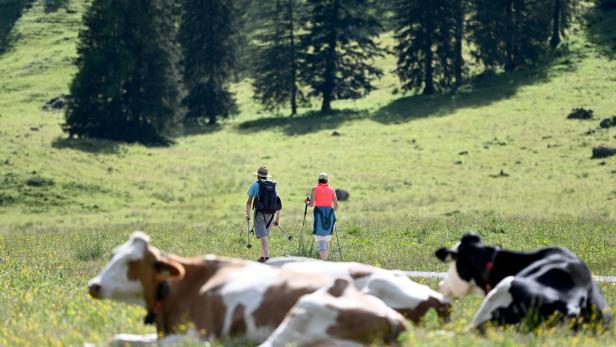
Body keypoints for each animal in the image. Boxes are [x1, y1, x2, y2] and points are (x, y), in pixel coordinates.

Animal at [85, 232, 404, 346]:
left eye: (132, 263)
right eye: (112, 255)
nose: (94, 285)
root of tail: (393, 318)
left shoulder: (199, 335)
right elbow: (119, 338)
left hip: (303, 313)